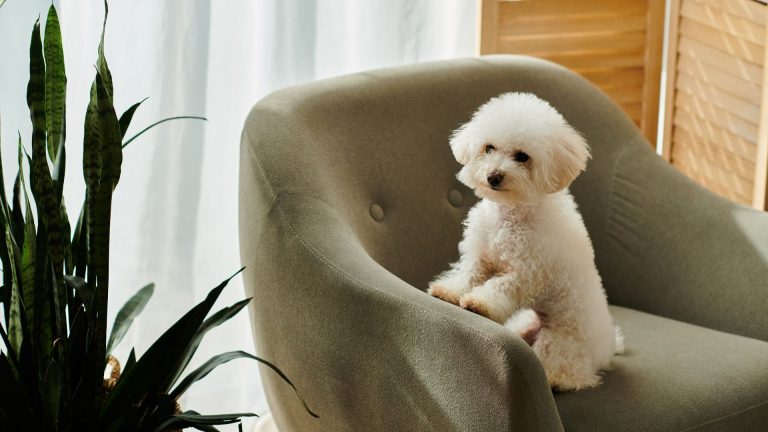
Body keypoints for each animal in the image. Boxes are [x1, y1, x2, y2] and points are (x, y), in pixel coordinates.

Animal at [428, 93, 620, 390]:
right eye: (489, 148)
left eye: (522, 156)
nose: (493, 176)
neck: (510, 215)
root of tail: (608, 349)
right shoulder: (479, 255)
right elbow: (467, 274)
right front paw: (448, 291)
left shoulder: (526, 273)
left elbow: (499, 286)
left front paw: (479, 303)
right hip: (523, 324)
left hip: (561, 342)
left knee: (569, 372)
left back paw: (556, 378)